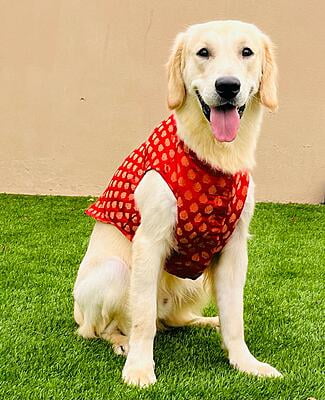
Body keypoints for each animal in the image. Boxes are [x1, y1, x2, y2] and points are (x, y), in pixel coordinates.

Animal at [72, 20, 280, 386]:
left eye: (247, 52)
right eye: (203, 52)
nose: (228, 86)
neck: (213, 158)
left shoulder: (234, 248)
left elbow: (235, 317)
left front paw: (245, 362)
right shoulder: (149, 241)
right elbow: (142, 318)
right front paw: (140, 368)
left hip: (191, 281)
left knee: (172, 320)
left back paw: (206, 321)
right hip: (115, 273)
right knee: (104, 329)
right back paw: (121, 343)